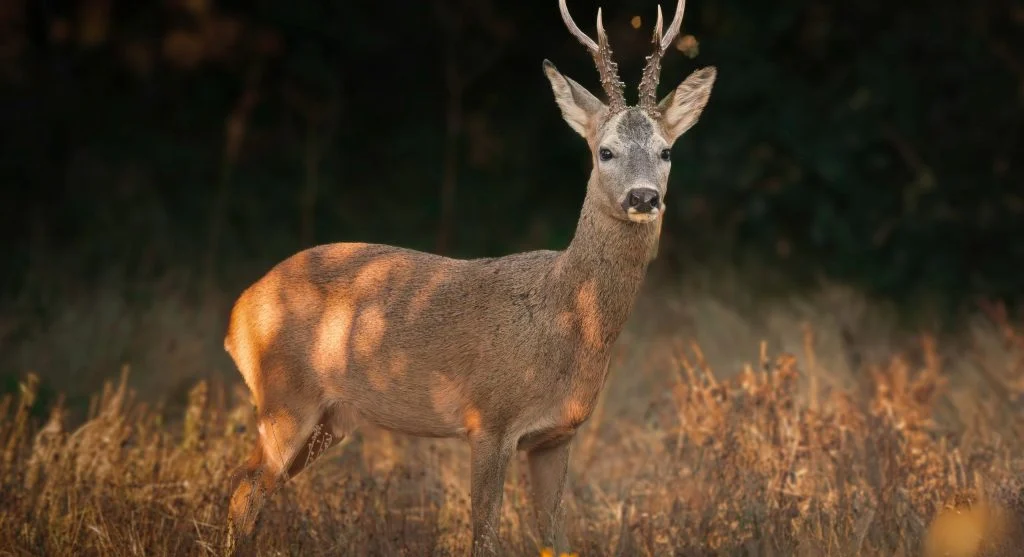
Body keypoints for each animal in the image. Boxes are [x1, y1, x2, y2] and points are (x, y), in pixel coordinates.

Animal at [222, 0, 715, 554]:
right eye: (604, 151)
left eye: (666, 151)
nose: (644, 197)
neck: (568, 317)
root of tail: (238, 312)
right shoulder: (489, 420)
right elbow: (485, 536)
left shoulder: (558, 435)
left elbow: (555, 536)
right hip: (284, 396)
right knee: (243, 487)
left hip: (329, 419)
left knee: (248, 485)